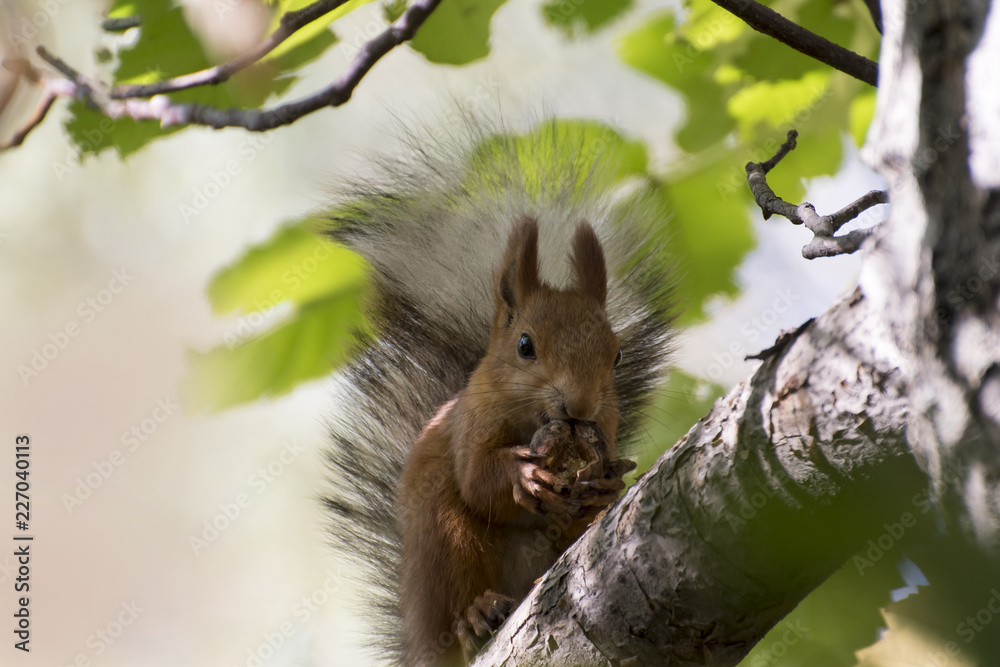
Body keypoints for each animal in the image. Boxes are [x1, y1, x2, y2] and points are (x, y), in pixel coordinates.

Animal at [396, 217, 632, 664]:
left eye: (617, 355)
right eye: (525, 345)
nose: (579, 405)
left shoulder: (607, 425)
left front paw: (608, 484)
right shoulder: (471, 423)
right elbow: (477, 480)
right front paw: (524, 475)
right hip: (444, 540)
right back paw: (475, 616)